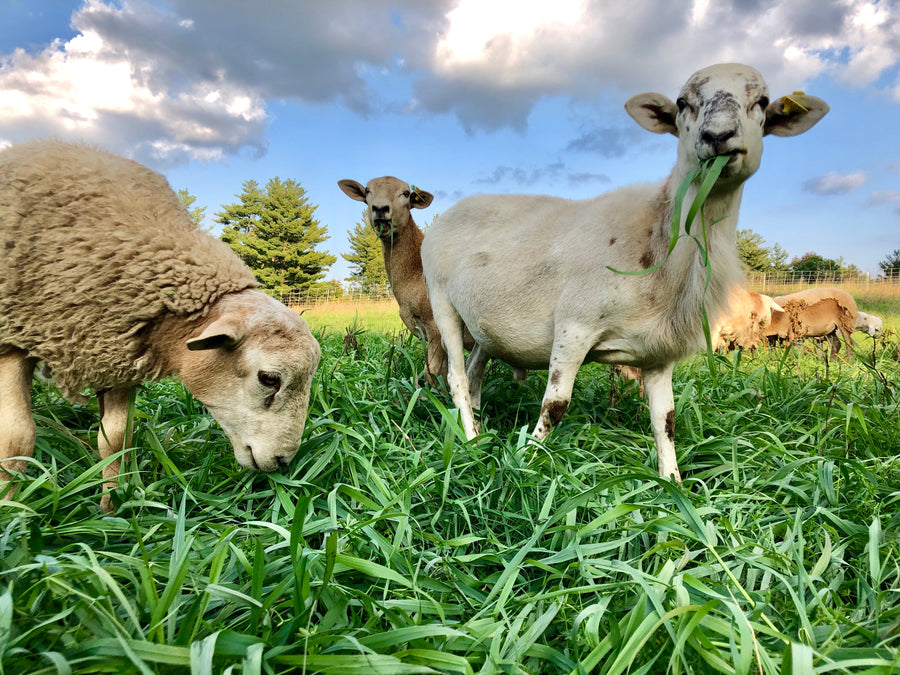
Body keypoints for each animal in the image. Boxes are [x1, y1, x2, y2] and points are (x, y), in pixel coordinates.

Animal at [1, 140, 321, 511]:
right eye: (269, 378)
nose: (284, 462)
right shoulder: (13, 334)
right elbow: (15, 440)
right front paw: (11, 509)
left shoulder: (116, 351)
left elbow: (116, 439)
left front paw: (112, 507)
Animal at [421, 63, 828, 482]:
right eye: (683, 103)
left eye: (761, 102)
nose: (717, 137)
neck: (658, 234)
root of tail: (455, 208)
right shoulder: (574, 325)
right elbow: (555, 405)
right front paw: (527, 463)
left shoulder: (658, 354)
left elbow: (666, 419)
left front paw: (673, 483)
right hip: (441, 300)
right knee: (456, 377)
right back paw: (470, 441)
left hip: (485, 327)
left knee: (474, 371)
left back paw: (479, 427)